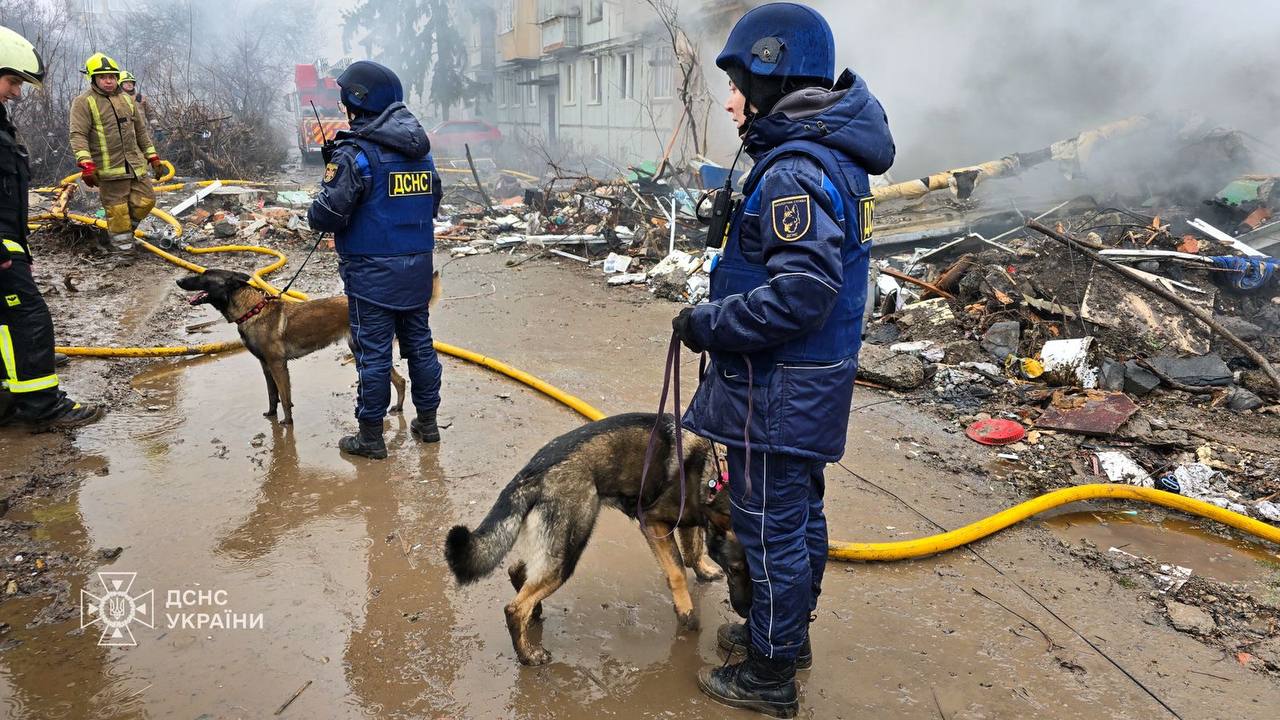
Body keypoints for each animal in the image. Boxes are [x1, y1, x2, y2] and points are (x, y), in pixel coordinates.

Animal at [175, 266, 437, 422]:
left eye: (202, 276)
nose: (178, 280)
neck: (252, 310)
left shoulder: (278, 365)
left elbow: (284, 397)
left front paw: (286, 423)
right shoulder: (266, 366)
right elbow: (273, 394)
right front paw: (271, 414)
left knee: (398, 380)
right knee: (400, 380)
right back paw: (398, 407)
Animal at [445, 412, 747, 666]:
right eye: (735, 570)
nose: (744, 612)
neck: (714, 469)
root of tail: (532, 472)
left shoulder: (690, 521)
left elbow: (694, 551)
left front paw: (704, 571)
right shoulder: (653, 522)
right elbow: (677, 571)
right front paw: (686, 611)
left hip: (555, 546)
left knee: (518, 570)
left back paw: (535, 612)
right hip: (569, 549)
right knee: (514, 607)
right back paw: (528, 654)